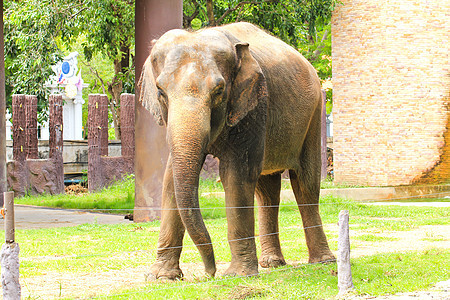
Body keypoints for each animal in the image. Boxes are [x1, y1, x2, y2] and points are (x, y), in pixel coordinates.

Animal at [139, 22, 336, 280]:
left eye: (219, 90)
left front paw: (238, 275)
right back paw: (272, 263)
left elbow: (236, 175)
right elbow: (170, 179)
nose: (209, 273)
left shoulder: (254, 105)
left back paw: (323, 261)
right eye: (160, 91)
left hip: (313, 117)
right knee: (267, 190)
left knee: (306, 185)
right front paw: (162, 277)